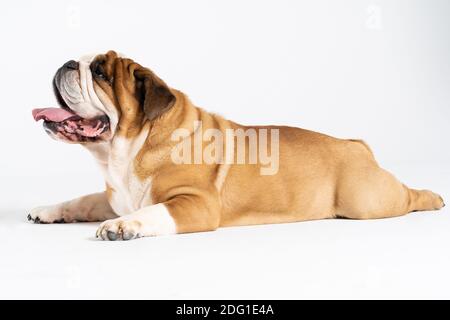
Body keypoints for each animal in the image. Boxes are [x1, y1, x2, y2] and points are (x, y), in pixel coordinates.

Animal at [29, 50, 444, 240]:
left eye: (100, 72)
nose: (68, 63)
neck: (127, 152)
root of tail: (356, 145)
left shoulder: (194, 204)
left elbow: (153, 212)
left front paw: (122, 225)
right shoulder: (113, 195)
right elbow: (82, 200)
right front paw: (49, 210)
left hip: (368, 200)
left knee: (406, 196)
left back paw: (433, 197)